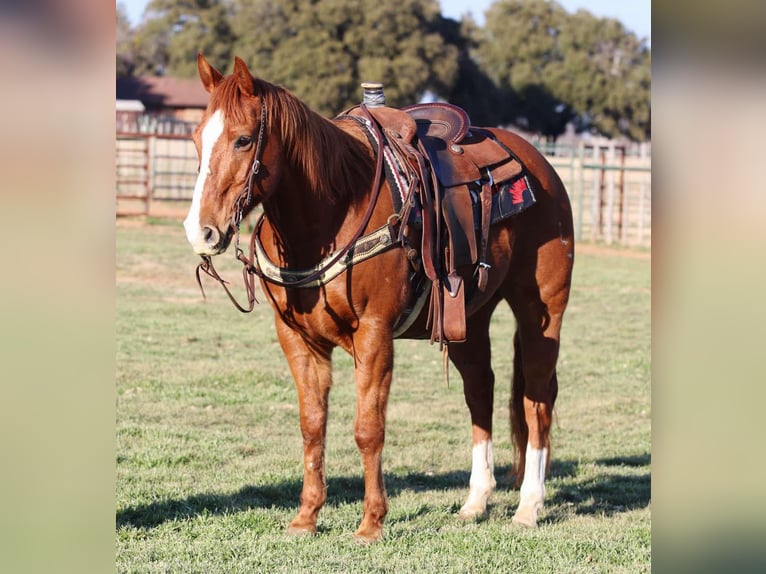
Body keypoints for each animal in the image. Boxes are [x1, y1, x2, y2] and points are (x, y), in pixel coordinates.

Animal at [184, 54, 574, 542]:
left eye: (243, 139)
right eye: (197, 137)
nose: (200, 231)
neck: (331, 210)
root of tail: (540, 165)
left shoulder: (374, 334)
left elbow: (368, 428)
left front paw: (371, 522)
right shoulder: (297, 339)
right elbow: (312, 426)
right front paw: (306, 517)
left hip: (542, 309)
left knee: (538, 398)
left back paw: (528, 506)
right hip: (469, 318)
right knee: (480, 391)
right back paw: (476, 502)